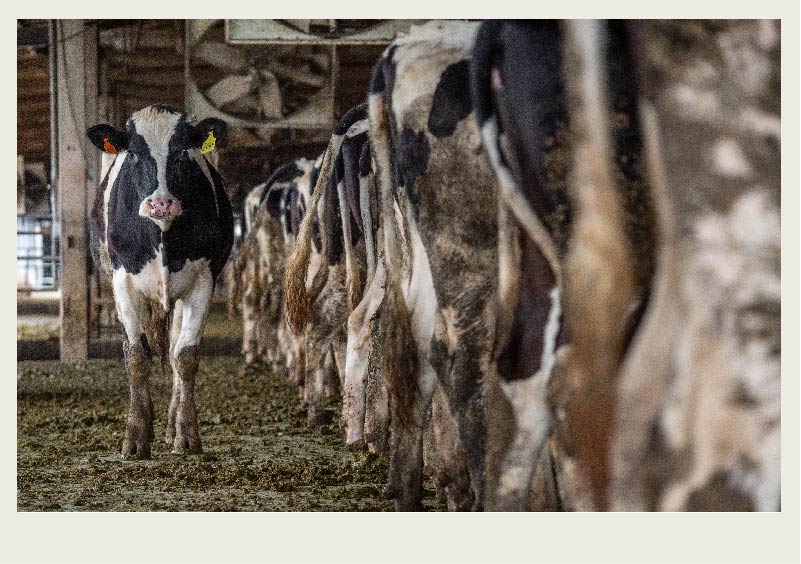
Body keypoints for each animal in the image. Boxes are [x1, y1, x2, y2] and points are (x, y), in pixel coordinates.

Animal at [86, 104, 233, 458]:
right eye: (133, 154)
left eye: (182, 152)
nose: (161, 203)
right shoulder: (123, 282)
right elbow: (137, 357)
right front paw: (136, 436)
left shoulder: (203, 281)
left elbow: (186, 356)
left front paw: (187, 434)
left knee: (174, 346)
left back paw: (169, 426)